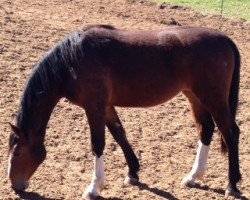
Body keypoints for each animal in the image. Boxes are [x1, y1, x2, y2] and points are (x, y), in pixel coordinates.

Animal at [8, 24, 242, 198]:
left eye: (18, 152)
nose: (14, 186)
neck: (71, 61)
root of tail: (224, 39)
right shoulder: (107, 107)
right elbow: (120, 135)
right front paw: (133, 172)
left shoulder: (94, 107)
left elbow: (98, 145)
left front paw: (94, 187)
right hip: (194, 96)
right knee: (206, 129)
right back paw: (193, 177)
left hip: (213, 98)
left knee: (231, 133)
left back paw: (232, 185)